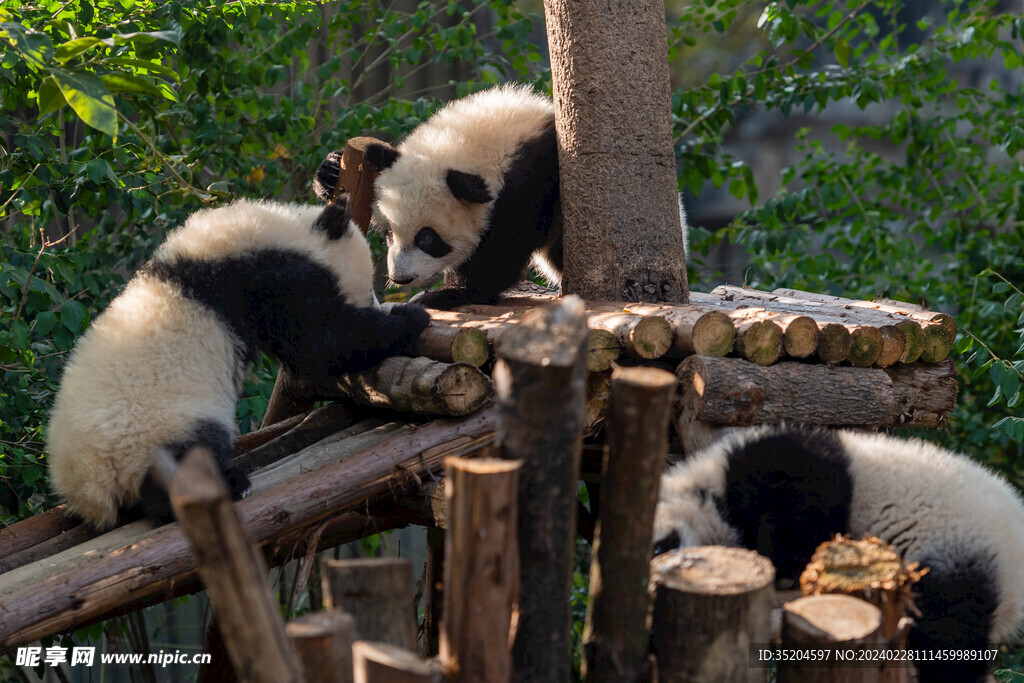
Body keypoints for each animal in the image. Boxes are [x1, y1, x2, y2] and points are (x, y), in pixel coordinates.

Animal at [46, 197, 430, 528]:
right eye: (368, 285)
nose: (377, 302)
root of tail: (91, 490)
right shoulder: (270, 283)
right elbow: (322, 343)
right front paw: (410, 318)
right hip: (155, 428)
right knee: (189, 454)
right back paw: (229, 483)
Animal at [655, 428, 1024, 683]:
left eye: (661, 545)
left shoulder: (788, 464)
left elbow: (804, 509)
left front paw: (783, 567)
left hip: (957, 548)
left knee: (949, 633)